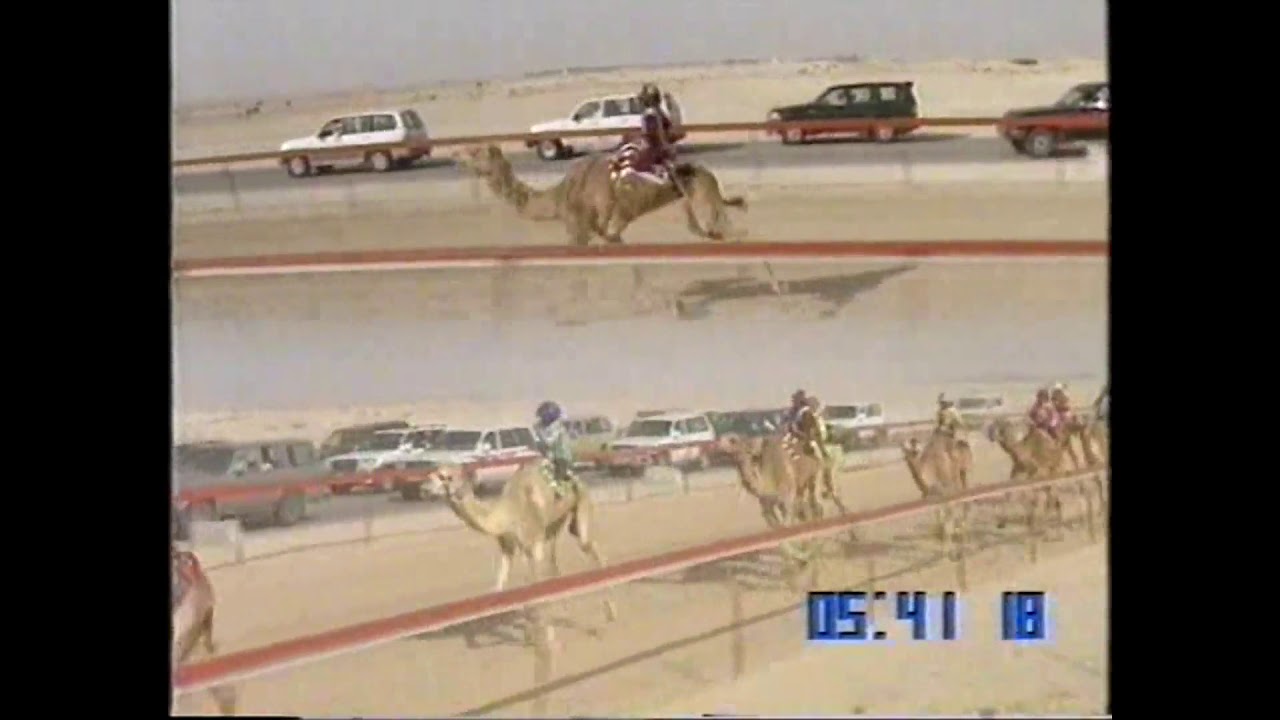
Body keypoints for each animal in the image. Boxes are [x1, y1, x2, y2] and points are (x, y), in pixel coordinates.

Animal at [427, 462, 618, 645]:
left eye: (445, 476)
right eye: (431, 472)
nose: (424, 488)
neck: (507, 512)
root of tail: (577, 477)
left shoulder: (534, 545)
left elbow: (534, 588)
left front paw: (546, 637)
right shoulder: (508, 548)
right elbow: (500, 588)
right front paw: (530, 635)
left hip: (580, 507)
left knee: (591, 548)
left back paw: (610, 614)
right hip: (553, 526)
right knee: (554, 562)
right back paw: (569, 611)